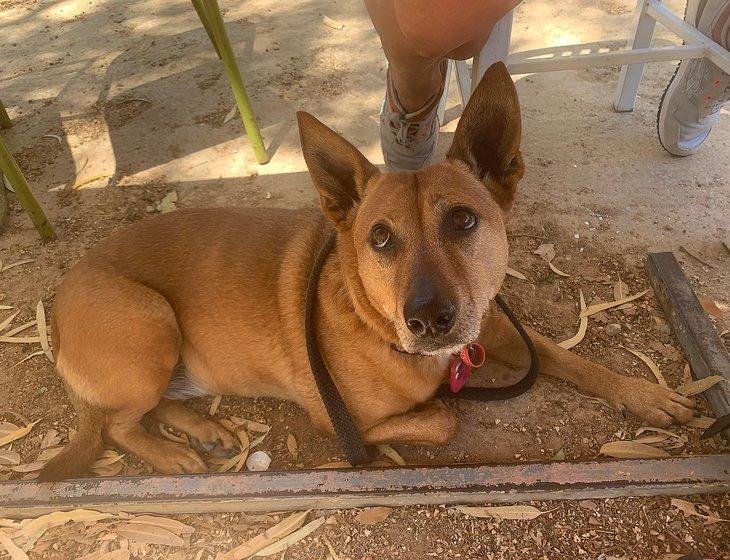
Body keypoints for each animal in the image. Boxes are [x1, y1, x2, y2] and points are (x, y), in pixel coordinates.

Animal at [41, 62, 692, 482]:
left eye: (463, 220)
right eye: (379, 238)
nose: (428, 320)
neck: (370, 317)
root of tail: (65, 291)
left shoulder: (491, 326)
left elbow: (564, 355)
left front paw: (643, 394)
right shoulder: (339, 417)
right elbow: (443, 419)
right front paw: (434, 409)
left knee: (142, 409)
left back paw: (201, 429)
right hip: (150, 319)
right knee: (116, 425)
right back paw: (172, 454)